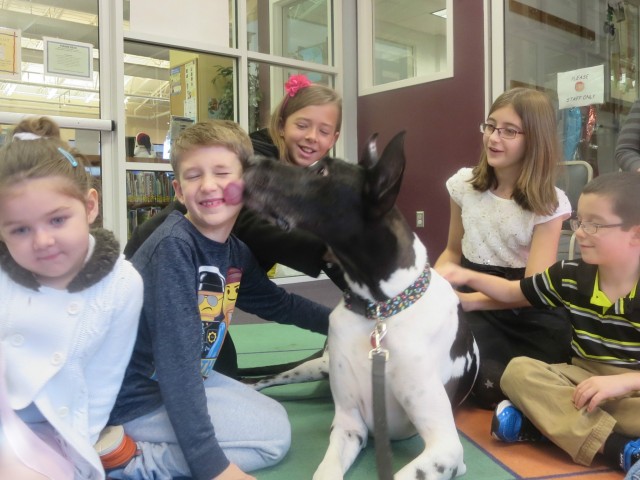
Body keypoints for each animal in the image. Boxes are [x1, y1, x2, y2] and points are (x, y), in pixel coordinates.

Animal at [242, 132, 478, 480]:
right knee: (260, 381)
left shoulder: (446, 448)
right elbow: (325, 472)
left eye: (322, 172)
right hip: (316, 366)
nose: (249, 160)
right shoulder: (349, 424)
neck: (380, 310)